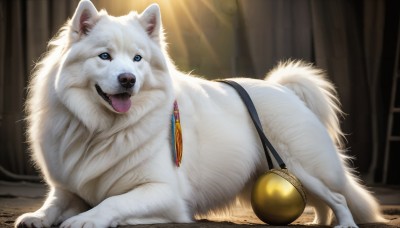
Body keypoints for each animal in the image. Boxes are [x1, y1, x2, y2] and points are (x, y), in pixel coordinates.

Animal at [14, 0, 384, 227]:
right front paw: (36, 216)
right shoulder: (69, 188)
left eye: (137, 59)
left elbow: (113, 203)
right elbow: (53, 203)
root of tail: (285, 90)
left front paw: (87, 218)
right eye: (104, 56)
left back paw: (344, 224)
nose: (128, 79)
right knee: (323, 202)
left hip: (303, 168)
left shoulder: (164, 193)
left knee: (338, 197)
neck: (102, 129)